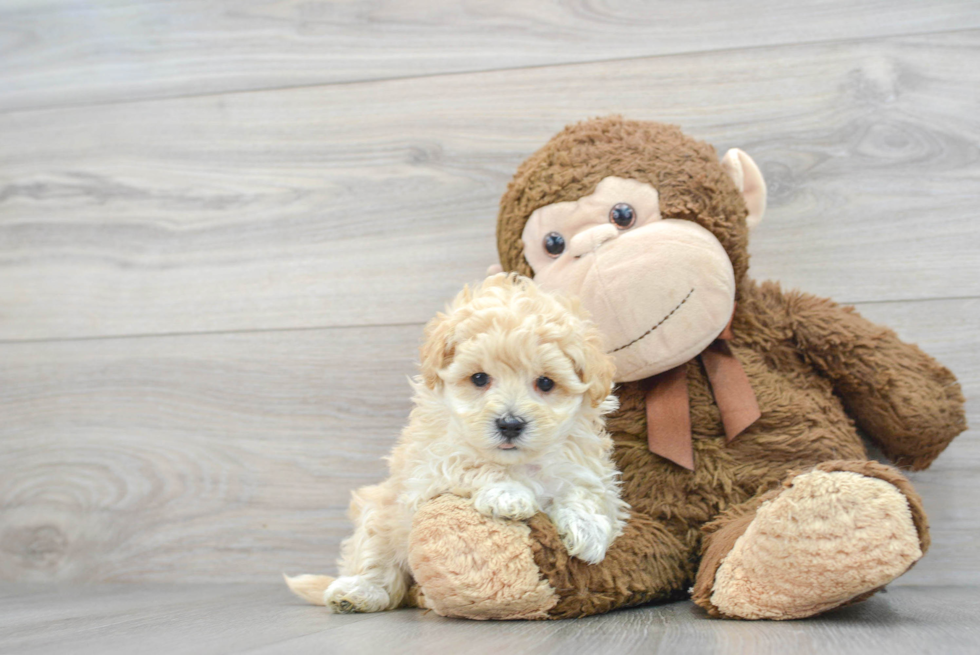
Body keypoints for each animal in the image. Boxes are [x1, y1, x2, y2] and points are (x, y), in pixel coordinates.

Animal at [288, 274, 632, 612]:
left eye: (546, 382)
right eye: (479, 378)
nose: (510, 424)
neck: (518, 462)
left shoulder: (591, 471)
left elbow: (587, 492)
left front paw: (587, 527)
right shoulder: (427, 472)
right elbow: (470, 465)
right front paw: (508, 493)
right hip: (378, 514)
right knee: (378, 566)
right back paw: (357, 592)